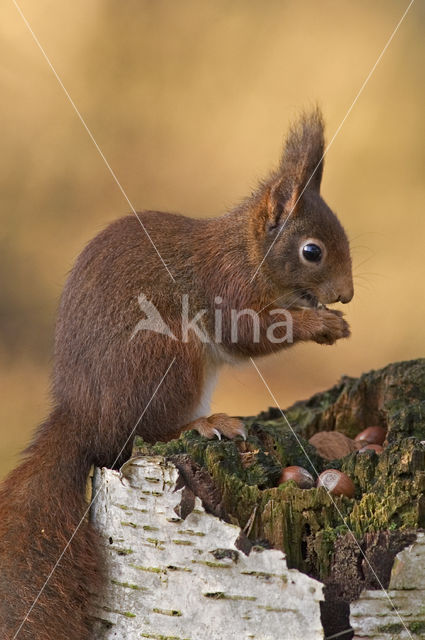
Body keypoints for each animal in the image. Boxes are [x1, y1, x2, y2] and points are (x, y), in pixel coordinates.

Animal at [0, 110, 352, 636]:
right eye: (312, 251)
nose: (346, 293)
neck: (246, 251)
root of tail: (84, 420)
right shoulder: (227, 286)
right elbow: (247, 334)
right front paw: (320, 324)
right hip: (168, 358)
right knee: (145, 431)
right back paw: (205, 424)